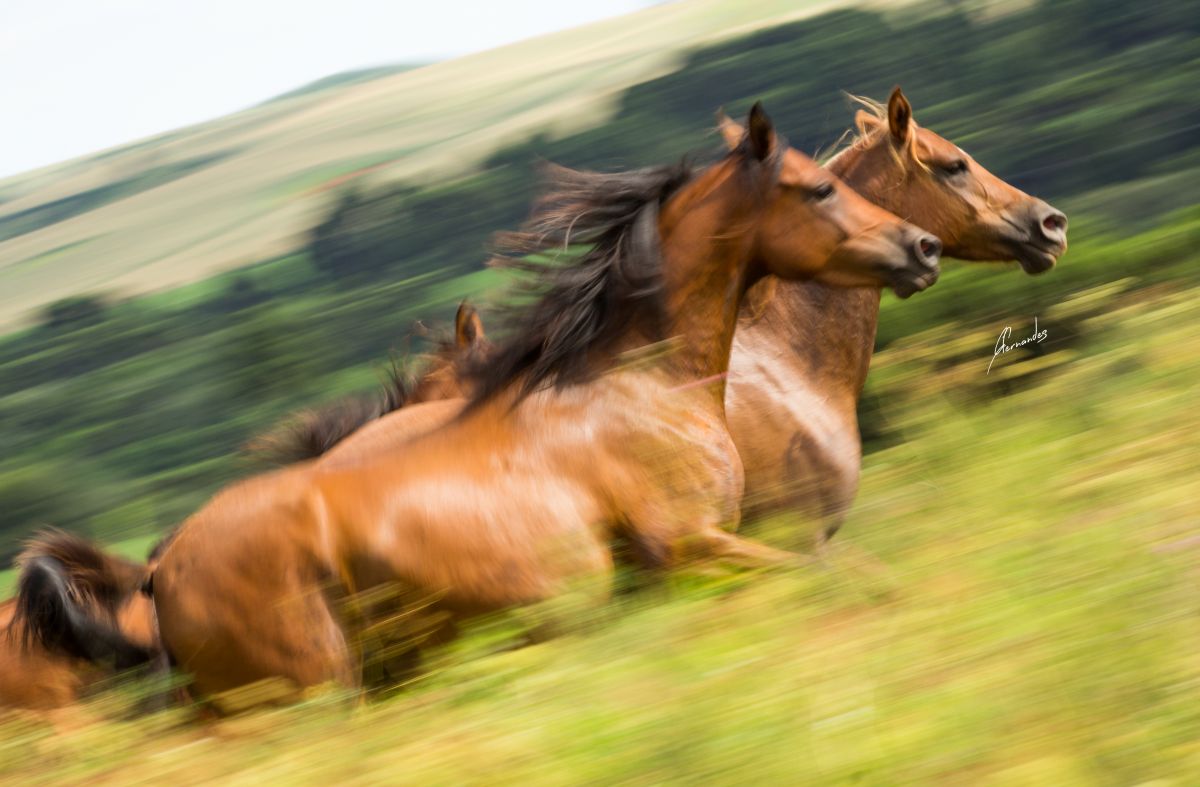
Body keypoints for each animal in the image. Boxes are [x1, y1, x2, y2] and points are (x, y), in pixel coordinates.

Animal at [147, 106, 936, 700]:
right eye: (819, 189)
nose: (922, 247)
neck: (645, 389)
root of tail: (159, 570)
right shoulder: (692, 548)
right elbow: (836, 582)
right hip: (318, 696)